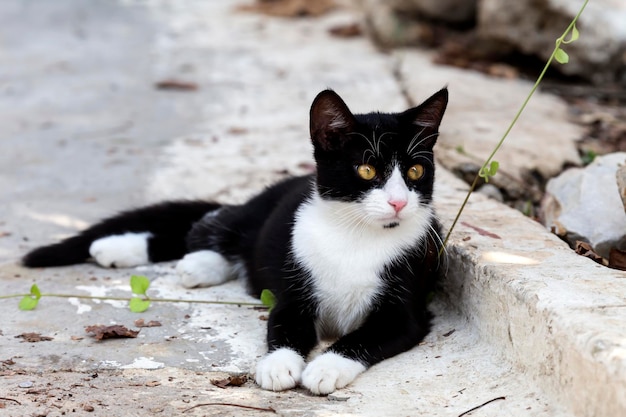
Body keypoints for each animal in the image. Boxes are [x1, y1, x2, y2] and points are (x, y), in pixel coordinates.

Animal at [22, 87, 446, 394]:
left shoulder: (407, 311)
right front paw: (279, 365)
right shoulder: (294, 290)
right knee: (207, 225)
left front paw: (324, 368)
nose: (398, 202)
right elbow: (283, 324)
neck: (356, 235)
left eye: (415, 170)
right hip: (253, 217)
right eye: (366, 170)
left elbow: (366, 336)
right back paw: (121, 248)